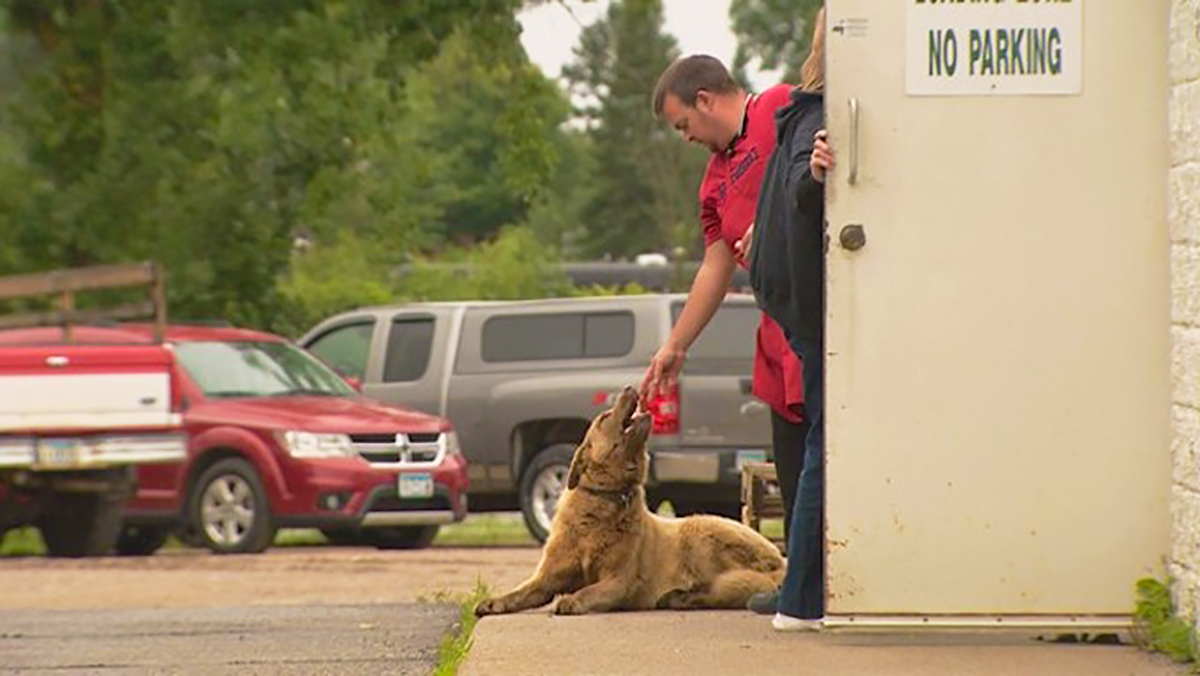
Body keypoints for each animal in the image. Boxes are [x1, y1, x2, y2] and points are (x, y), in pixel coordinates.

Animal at [477, 384, 787, 614]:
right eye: (605, 417)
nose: (628, 388)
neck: (606, 500)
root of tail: (781, 562)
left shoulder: (619, 580)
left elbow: (589, 590)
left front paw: (572, 600)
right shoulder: (547, 577)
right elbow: (521, 592)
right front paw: (493, 602)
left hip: (701, 535)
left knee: (729, 590)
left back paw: (683, 597)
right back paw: (678, 597)